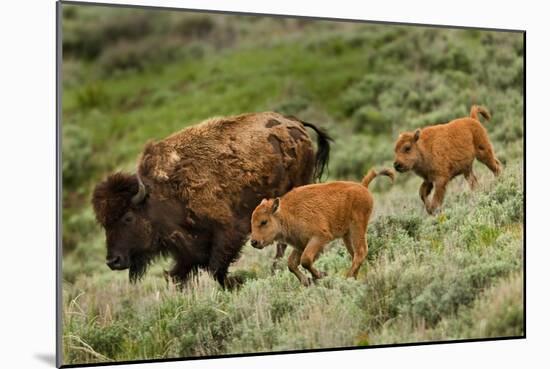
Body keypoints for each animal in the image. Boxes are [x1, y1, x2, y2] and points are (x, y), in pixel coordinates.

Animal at [91, 112, 332, 288]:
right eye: (104, 224)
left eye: (128, 217)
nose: (113, 261)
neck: (160, 194)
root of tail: (294, 122)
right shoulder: (188, 250)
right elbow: (180, 273)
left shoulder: (227, 231)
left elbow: (216, 268)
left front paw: (237, 282)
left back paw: (277, 267)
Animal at [250, 167, 396, 284]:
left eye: (264, 221)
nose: (254, 242)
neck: (287, 213)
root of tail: (363, 186)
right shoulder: (301, 245)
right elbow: (291, 264)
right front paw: (306, 281)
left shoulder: (320, 238)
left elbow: (305, 260)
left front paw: (320, 275)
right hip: (347, 235)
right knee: (355, 254)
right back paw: (353, 277)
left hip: (357, 228)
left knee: (361, 251)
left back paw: (347, 278)